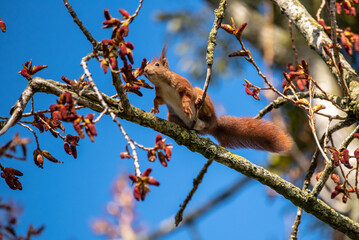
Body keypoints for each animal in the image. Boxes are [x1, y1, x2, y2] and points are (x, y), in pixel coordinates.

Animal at [143, 46, 292, 152]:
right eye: (147, 64)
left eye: (157, 65)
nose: (144, 70)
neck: (163, 83)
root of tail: (214, 124)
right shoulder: (161, 93)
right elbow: (158, 100)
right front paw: (154, 107)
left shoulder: (182, 84)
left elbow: (187, 94)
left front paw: (185, 105)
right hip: (172, 116)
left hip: (203, 98)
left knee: (203, 104)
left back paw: (200, 104)